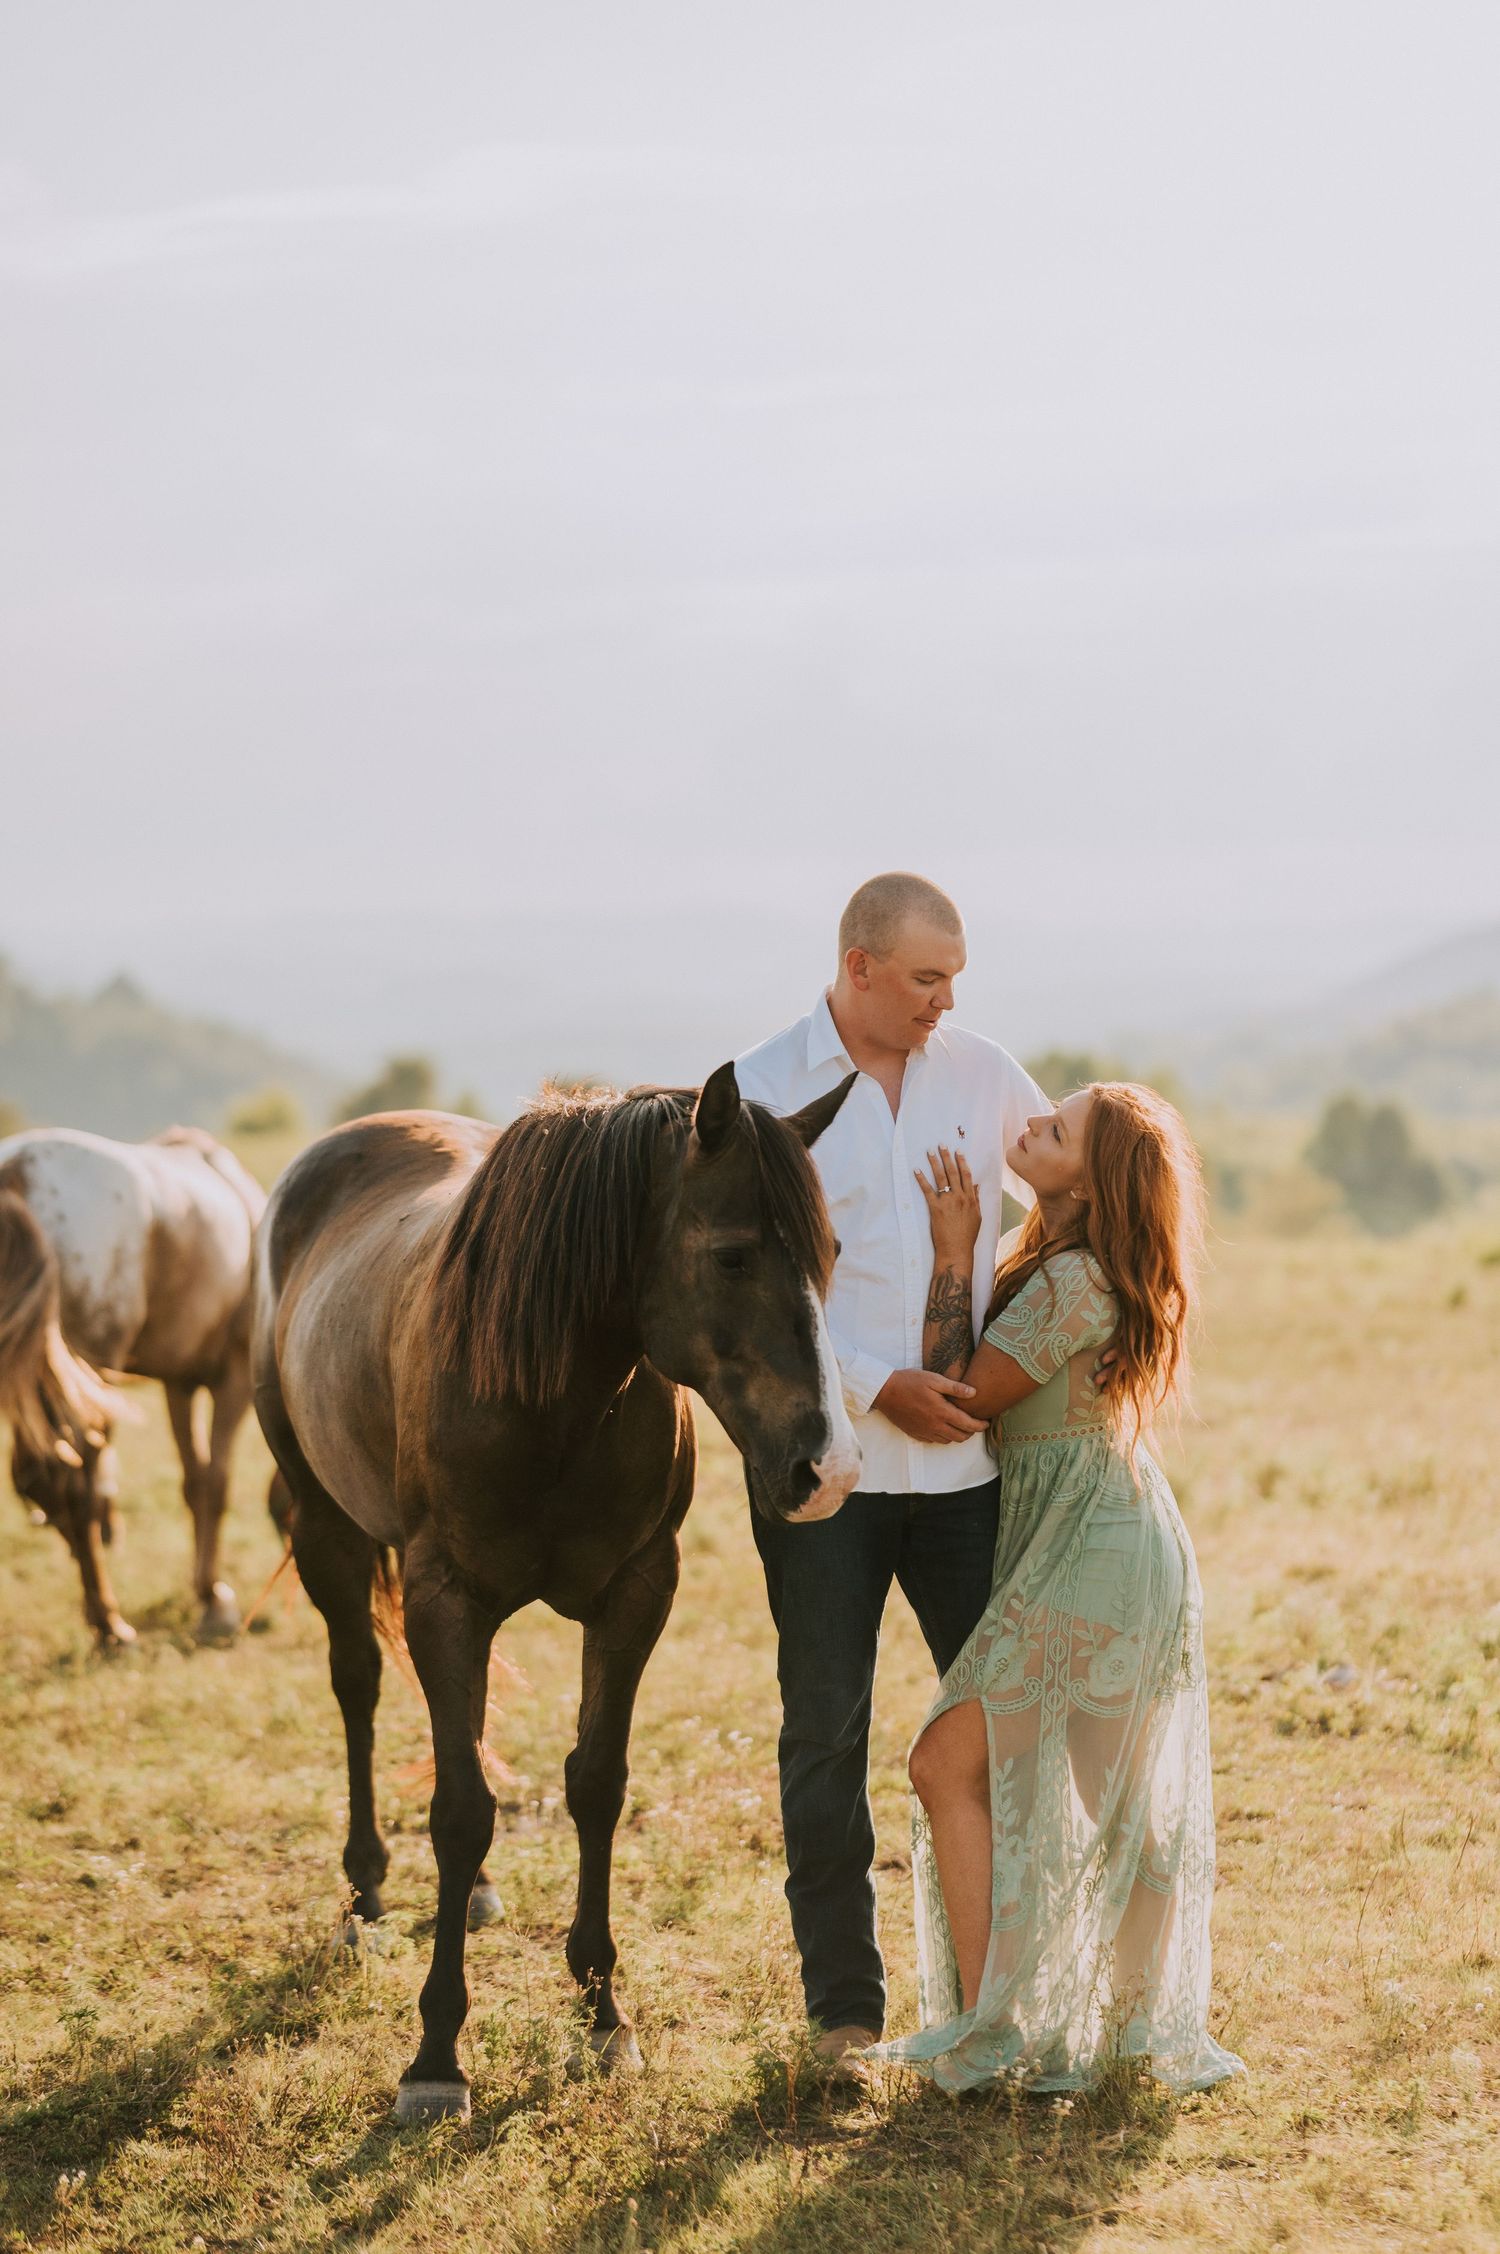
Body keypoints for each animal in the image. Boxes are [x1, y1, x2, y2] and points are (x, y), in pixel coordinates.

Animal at [0, 1124, 267, 1644]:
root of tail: (17, 1168)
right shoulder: (234, 1377)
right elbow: (217, 1482)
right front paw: (214, 1597)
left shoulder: (179, 1382)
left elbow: (194, 1480)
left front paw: (205, 1591)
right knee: (73, 1483)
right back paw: (109, 1622)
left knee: (40, 1475)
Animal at [251, 1063, 859, 2122]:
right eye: (734, 1256)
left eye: (828, 1254)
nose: (822, 1469)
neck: (550, 1391)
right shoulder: (445, 1598)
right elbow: (459, 1809)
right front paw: (436, 2056)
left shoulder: (635, 1594)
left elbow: (594, 1784)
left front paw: (604, 2013)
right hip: (326, 1531)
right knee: (358, 1686)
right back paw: (365, 1897)